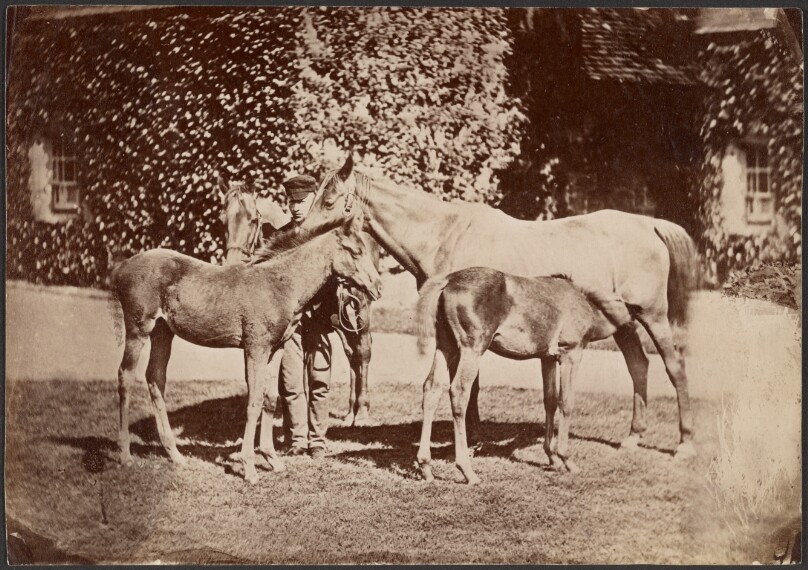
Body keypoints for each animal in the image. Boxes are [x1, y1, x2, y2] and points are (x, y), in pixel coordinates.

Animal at [111, 219, 382, 484]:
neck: (279, 284)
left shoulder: (276, 348)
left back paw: (175, 455)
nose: (378, 287)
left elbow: (270, 399)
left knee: (155, 378)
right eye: (355, 251)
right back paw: (125, 456)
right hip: (138, 330)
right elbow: (254, 401)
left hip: (163, 332)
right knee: (125, 375)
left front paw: (272, 460)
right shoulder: (255, 348)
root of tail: (122, 267)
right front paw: (250, 468)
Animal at [219, 178, 380, 431]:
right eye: (223, 221)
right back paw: (349, 412)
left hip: (360, 310)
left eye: (253, 219)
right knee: (351, 353)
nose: (233, 264)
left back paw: (361, 412)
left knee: (362, 352)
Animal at [297, 155, 698, 458]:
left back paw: (684, 443)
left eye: (329, 200)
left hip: (653, 315)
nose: (300, 234)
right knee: (638, 366)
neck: (444, 234)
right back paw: (633, 437)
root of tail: (648, 225)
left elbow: (469, 386)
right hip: (624, 321)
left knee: (675, 368)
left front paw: (470, 440)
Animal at [415, 267, 634, 484]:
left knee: (431, 388)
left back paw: (425, 466)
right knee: (459, 393)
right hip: (471, 349)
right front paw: (566, 460)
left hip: (446, 346)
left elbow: (550, 401)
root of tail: (449, 280)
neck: (583, 302)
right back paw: (467, 471)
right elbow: (566, 402)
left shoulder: (547, 359)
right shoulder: (571, 354)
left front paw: (552, 458)